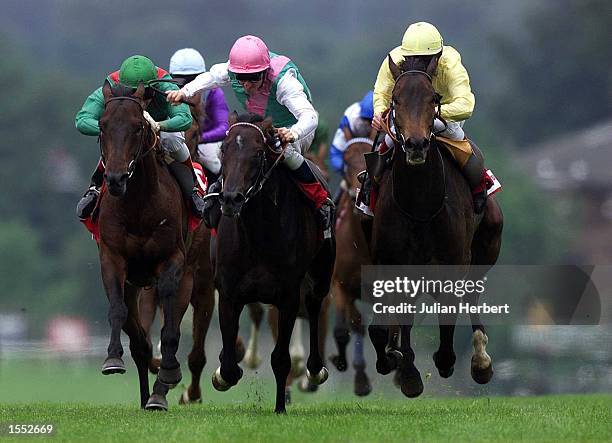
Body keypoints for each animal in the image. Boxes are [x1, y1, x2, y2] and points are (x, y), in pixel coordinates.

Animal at [96, 80, 194, 410]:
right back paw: (145, 396)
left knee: (171, 328)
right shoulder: (112, 258)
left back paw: (160, 391)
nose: (115, 178)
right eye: (102, 125)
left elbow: (170, 327)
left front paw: (169, 373)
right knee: (140, 340)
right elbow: (117, 310)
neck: (138, 205)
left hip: (190, 277)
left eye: (138, 126)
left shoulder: (173, 260)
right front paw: (113, 359)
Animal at [210, 112, 334, 414]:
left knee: (315, 307)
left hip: (321, 275)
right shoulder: (229, 291)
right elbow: (229, 363)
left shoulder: (288, 294)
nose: (230, 199)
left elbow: (280, 358)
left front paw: (280, 408)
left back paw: (315, 370)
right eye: (224, 149)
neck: (259, 234)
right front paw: (224, 373)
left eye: (257, 153)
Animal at [366, 55, 504, 398]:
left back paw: (480, 361)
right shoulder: (391, 262)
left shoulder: (454, 260)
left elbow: (449, 313)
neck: (420, 205)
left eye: (434, 99)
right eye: (395, 100)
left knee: (471, 297)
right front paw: (405, 368)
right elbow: (390, 322)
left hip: (485, 247)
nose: (416, 145)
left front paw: (444, 360)